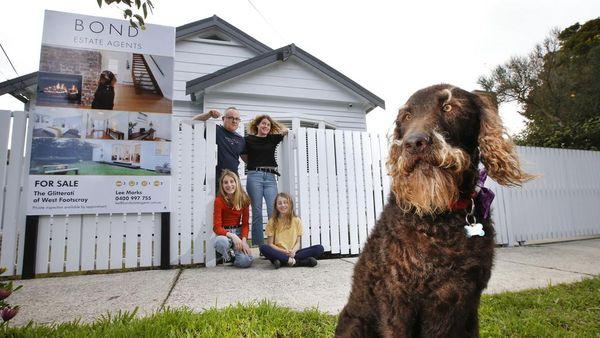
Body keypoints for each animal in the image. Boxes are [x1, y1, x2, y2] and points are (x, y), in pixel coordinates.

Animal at [336, 84, 532, 338]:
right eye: (406, 117)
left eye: (448, 107)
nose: (413, 143)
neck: (439, 217)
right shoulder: (397, 301)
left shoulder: (468, 303)